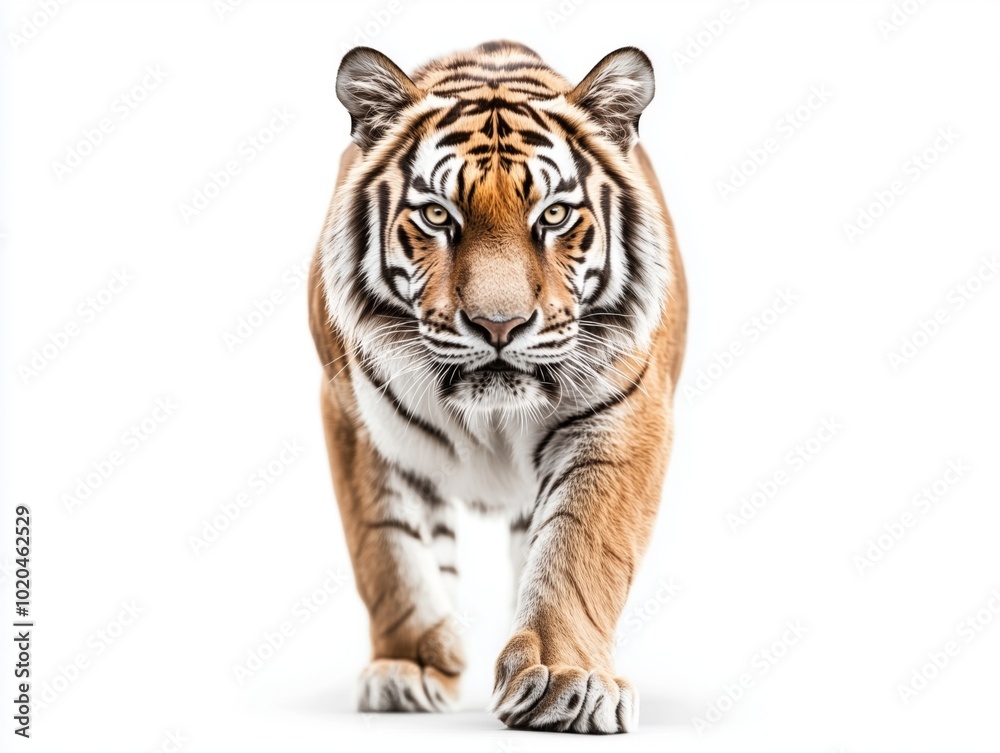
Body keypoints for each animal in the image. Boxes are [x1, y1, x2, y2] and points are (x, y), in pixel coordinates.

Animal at [308, 40, 687, 733]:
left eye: (555, 214)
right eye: (437, 215)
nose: (499, 324)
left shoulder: (624, 418)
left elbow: (579, 548)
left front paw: (569, 679)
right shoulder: (355, 419)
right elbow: (389, 554)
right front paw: (409, 669)